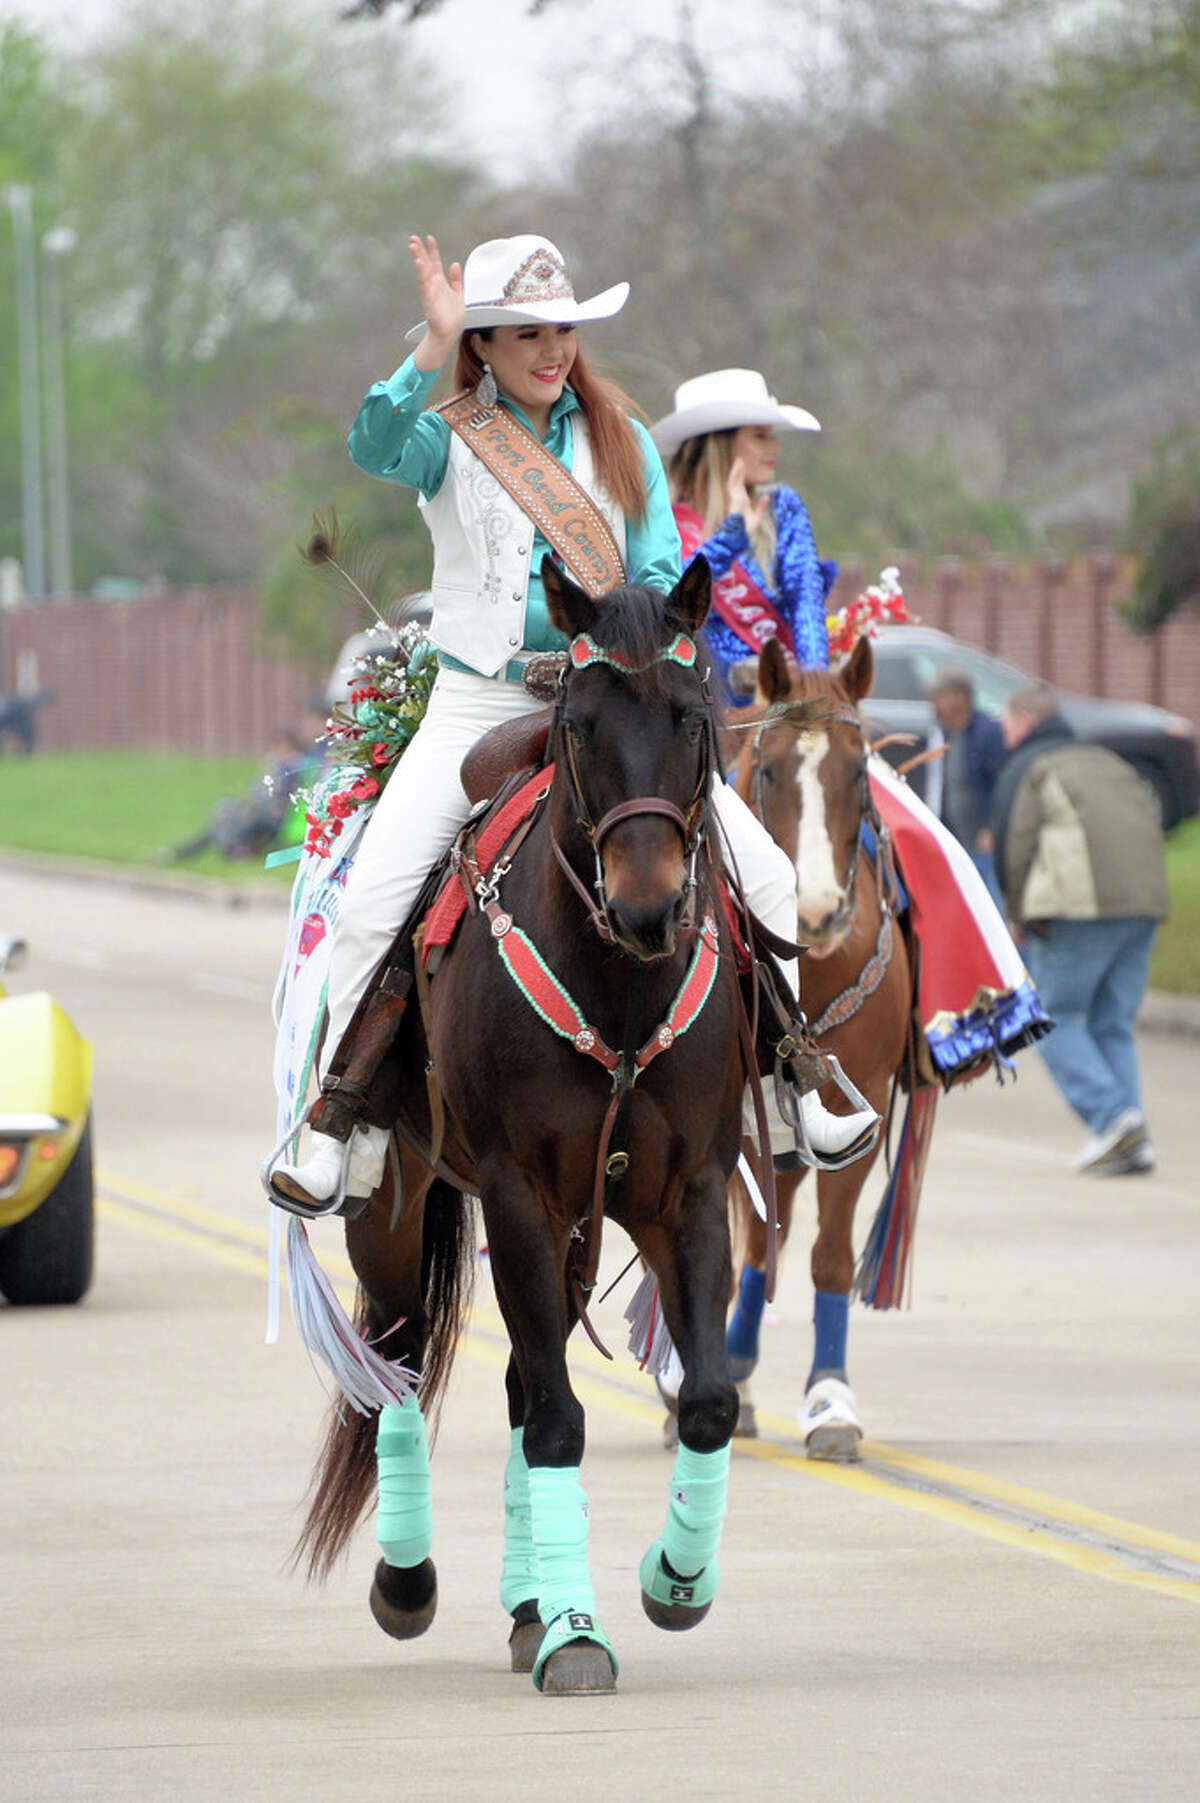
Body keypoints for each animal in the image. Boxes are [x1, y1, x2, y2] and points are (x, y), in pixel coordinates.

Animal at [286, 558, 742, 1687]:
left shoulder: (685, 1194)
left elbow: (705, 1398)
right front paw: (580, 1633)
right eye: (580, 723)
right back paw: (410, 1582)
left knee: (512, 1387)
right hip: (397, 1205)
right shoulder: (519, 1195)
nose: (647, 907)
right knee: (401, 1364)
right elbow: (559, 1423)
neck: (619, 989)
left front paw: (674, 1581)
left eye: (692, 713)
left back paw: (532, 1600)